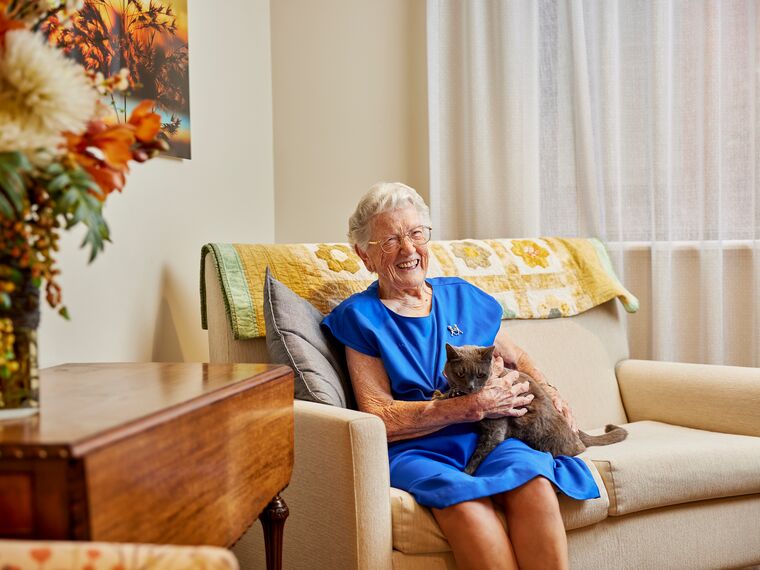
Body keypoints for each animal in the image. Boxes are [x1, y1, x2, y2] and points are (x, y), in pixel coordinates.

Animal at [436, 344, 628, 472]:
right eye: (461, 373)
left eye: (480, 375)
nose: (470, 387)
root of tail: (576, 432)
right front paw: (446, 394)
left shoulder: (495, 430)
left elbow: (480, 453)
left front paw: (466, 473)